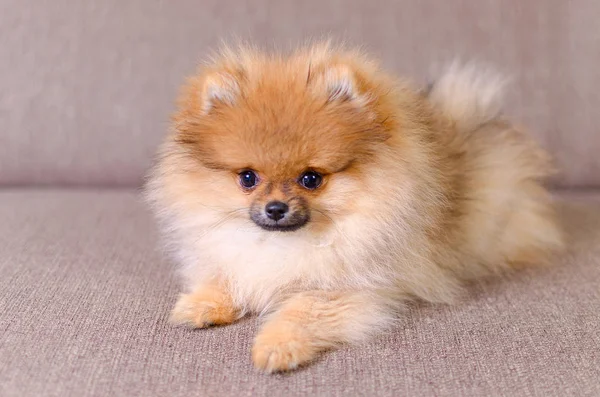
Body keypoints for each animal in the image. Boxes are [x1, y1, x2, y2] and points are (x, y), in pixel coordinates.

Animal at [145, 42, 564, 372]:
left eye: (311, 178)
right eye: (248, 178)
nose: (276, 208)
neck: (286, 243)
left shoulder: (343, 289)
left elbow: (300, 312)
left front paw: (277, 346)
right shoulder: (231, 253)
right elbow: (223, 275)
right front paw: (200, 304)